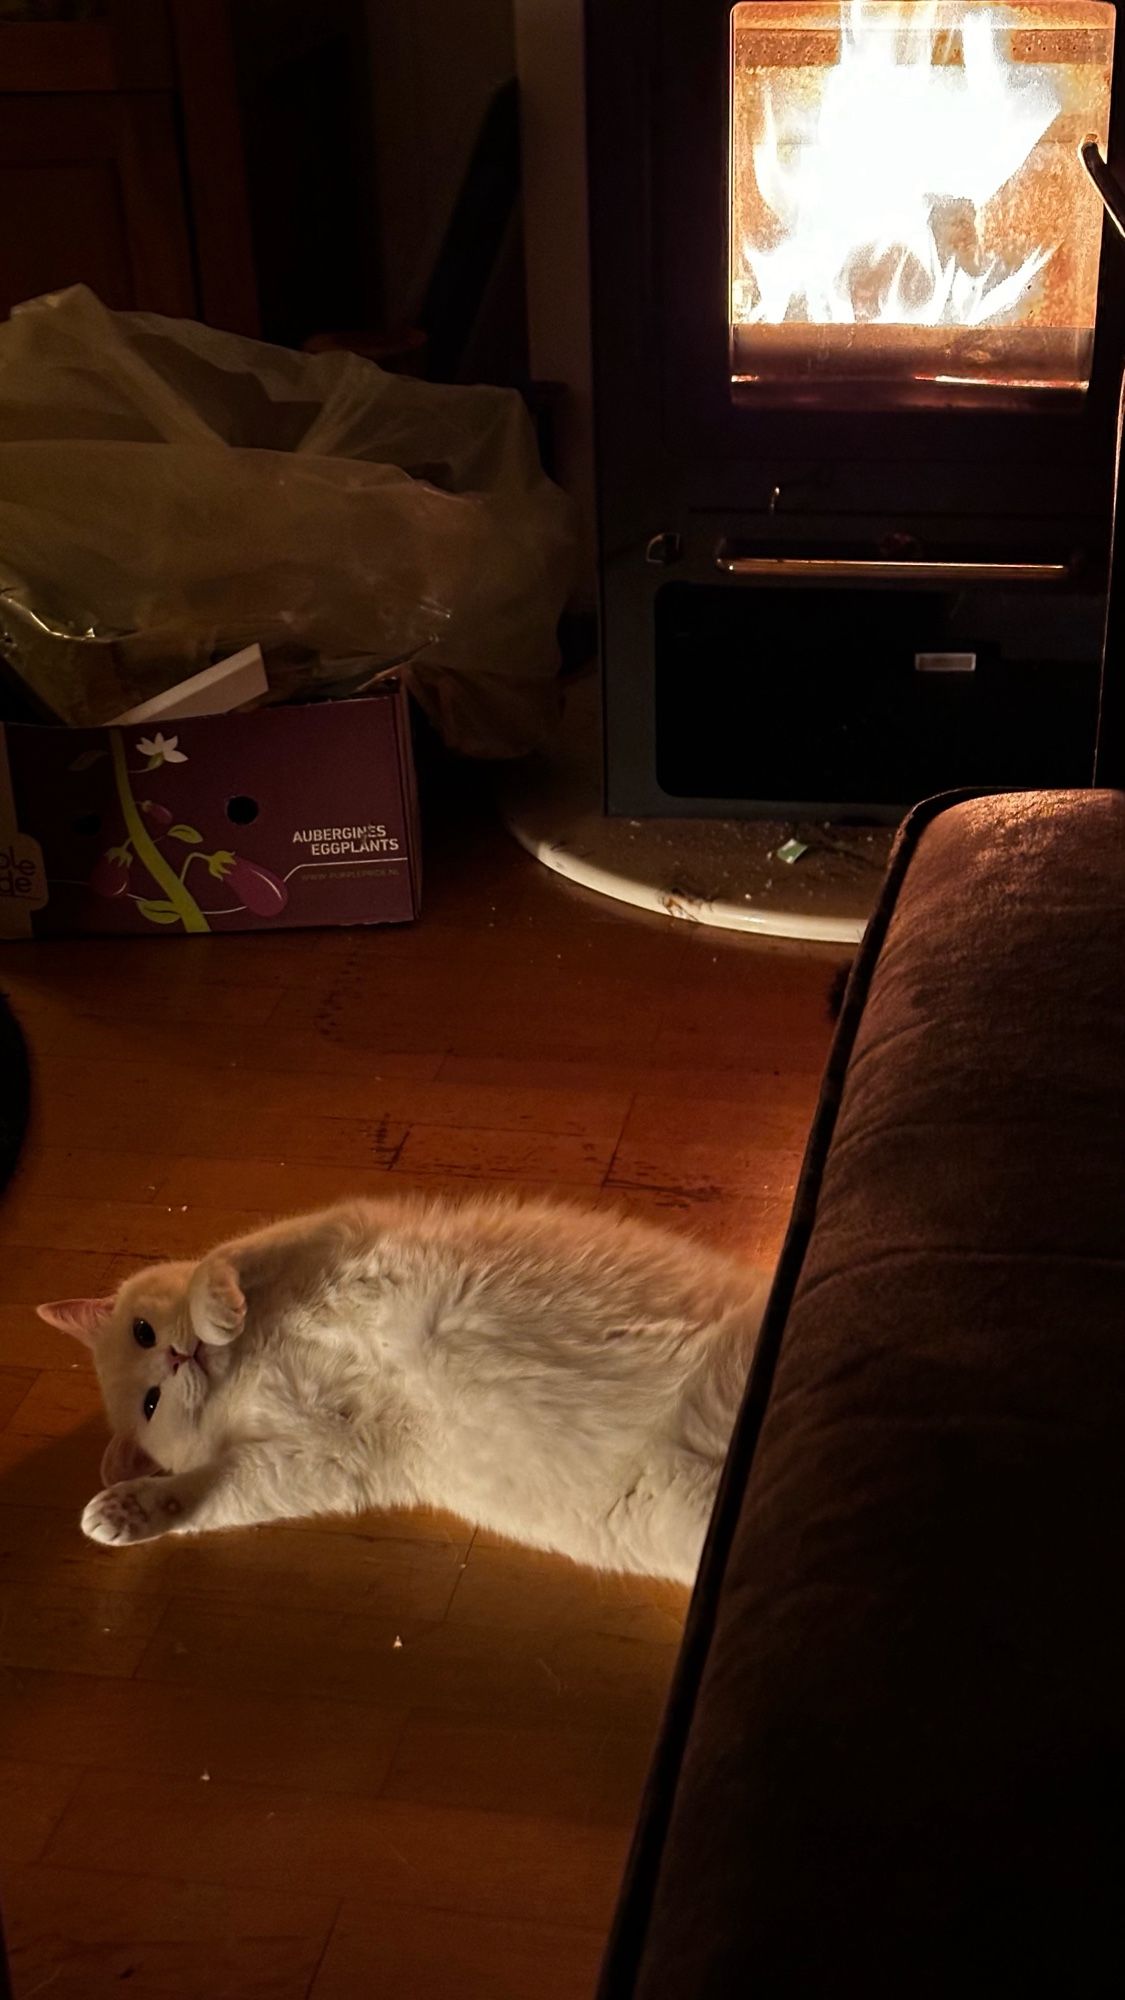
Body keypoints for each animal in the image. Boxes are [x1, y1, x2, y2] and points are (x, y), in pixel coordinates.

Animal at [37, 1192, 768, 1584]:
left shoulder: (325, 1230)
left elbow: (213, 1266)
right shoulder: (314, 1462)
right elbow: (202, 1493)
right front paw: (124, 1510)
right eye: (151, 1403)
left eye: (141, 1331)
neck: (252, 1364)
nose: (177, 1355)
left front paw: (218, 1314)